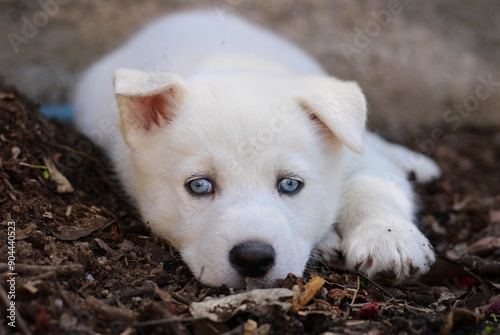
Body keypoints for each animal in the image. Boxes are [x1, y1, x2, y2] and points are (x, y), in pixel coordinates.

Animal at [73, 11, 438, 288]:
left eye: (290, 184)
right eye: (199, 185)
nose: (253, 258)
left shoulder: (357, 158)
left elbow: (372, 184)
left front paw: (390, 238)